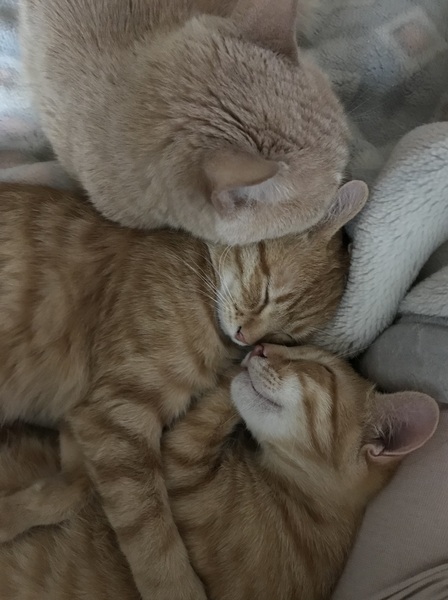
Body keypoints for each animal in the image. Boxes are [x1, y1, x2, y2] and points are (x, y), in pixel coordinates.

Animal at [0, 182, 366, 600]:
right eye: (267, 294)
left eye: (284, 337)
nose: (249, 342)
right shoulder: (115, 415)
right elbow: (154, 541)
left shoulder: (82, 420)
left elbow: (77, 488)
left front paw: (11, 514)